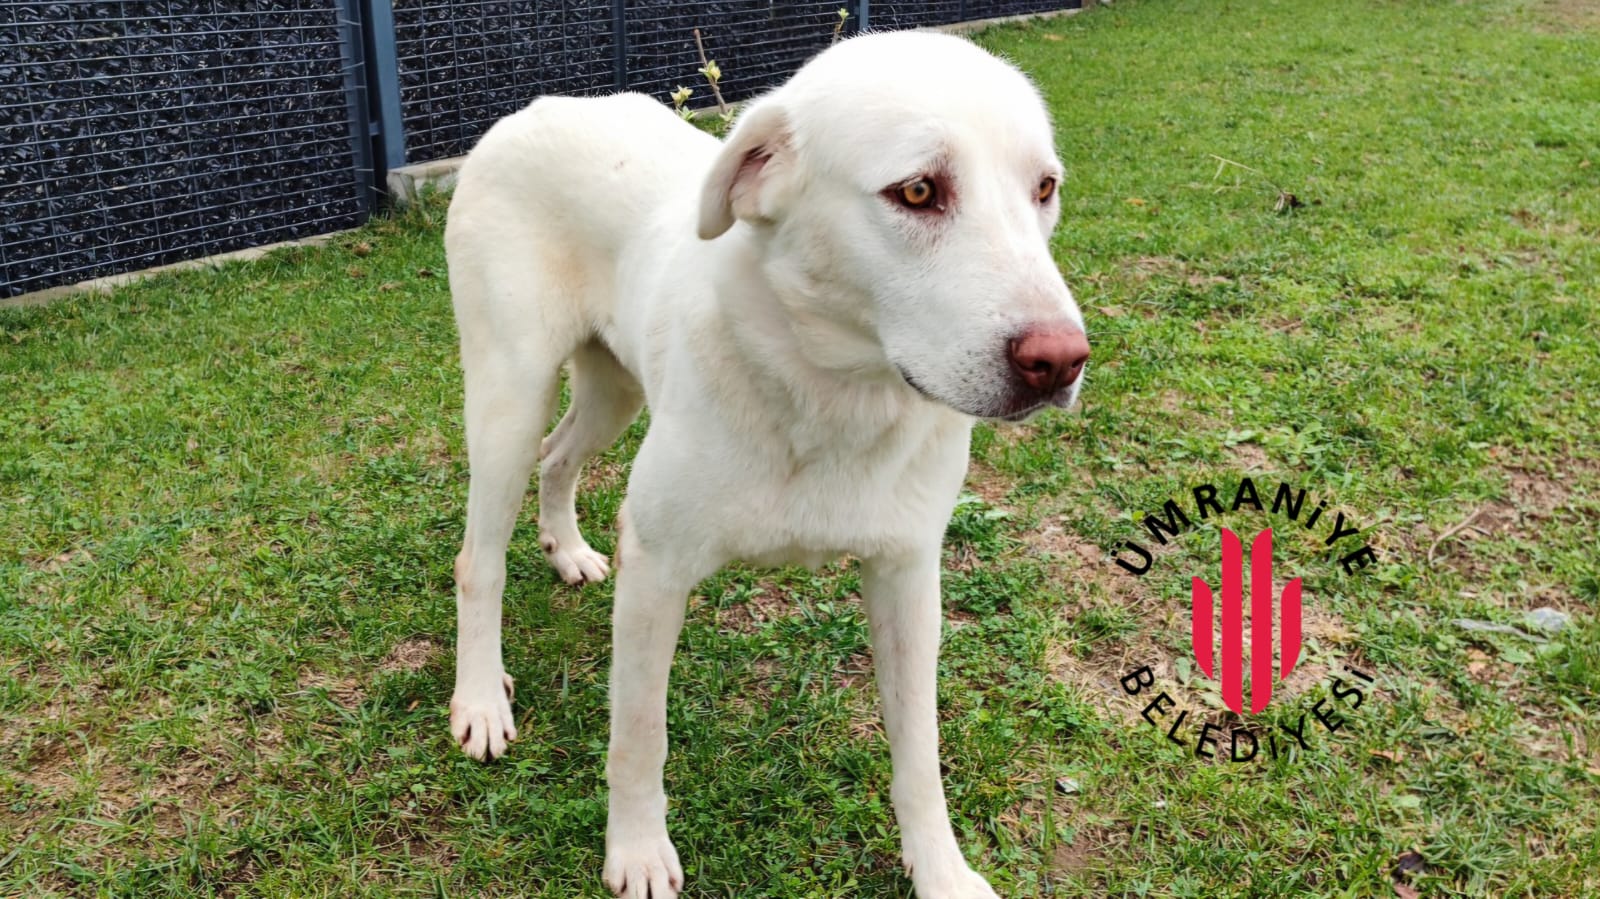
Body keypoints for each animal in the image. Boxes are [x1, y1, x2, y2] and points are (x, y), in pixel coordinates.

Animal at [444, 30, 1087, 899]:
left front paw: (941, 870)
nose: (1061, 361)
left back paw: (567, 548)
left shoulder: (908, 574)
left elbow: (920, 751)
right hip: (509, 394)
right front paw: (637, 850)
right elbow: (639, 735)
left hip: (615, 392)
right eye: (918, 190)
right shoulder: (659, 568)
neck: (829, 392)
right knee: (479, 558)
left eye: (1043, 188)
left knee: (560, 454)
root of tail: (540, 107)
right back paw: (480, 699)